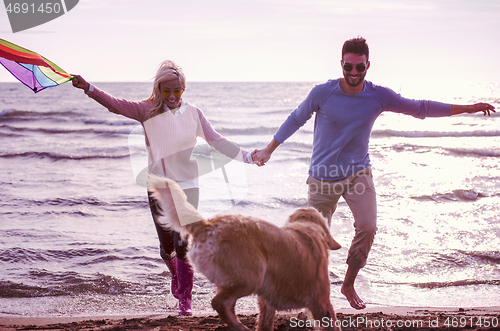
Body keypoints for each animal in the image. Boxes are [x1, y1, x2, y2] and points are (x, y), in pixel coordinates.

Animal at [147, 178, 344, 330]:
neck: (306, 227)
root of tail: (207, 224)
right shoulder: (321, 301)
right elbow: (333, 324)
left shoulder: (267, 305)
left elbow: (265, 323)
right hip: (252, 277)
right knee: (218, 302)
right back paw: (240, 327)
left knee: (225, 303)